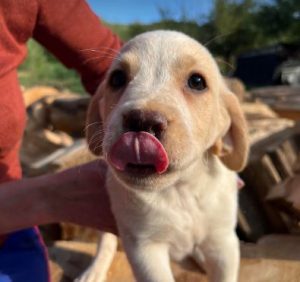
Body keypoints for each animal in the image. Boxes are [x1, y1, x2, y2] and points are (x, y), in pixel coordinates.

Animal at [77, 30, 248, 282]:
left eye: (197, 82)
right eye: (117, 79)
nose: (142, 122)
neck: (179, 191)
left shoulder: (223, 243)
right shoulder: (144, 248)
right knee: (105, 241)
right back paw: (94, 270)